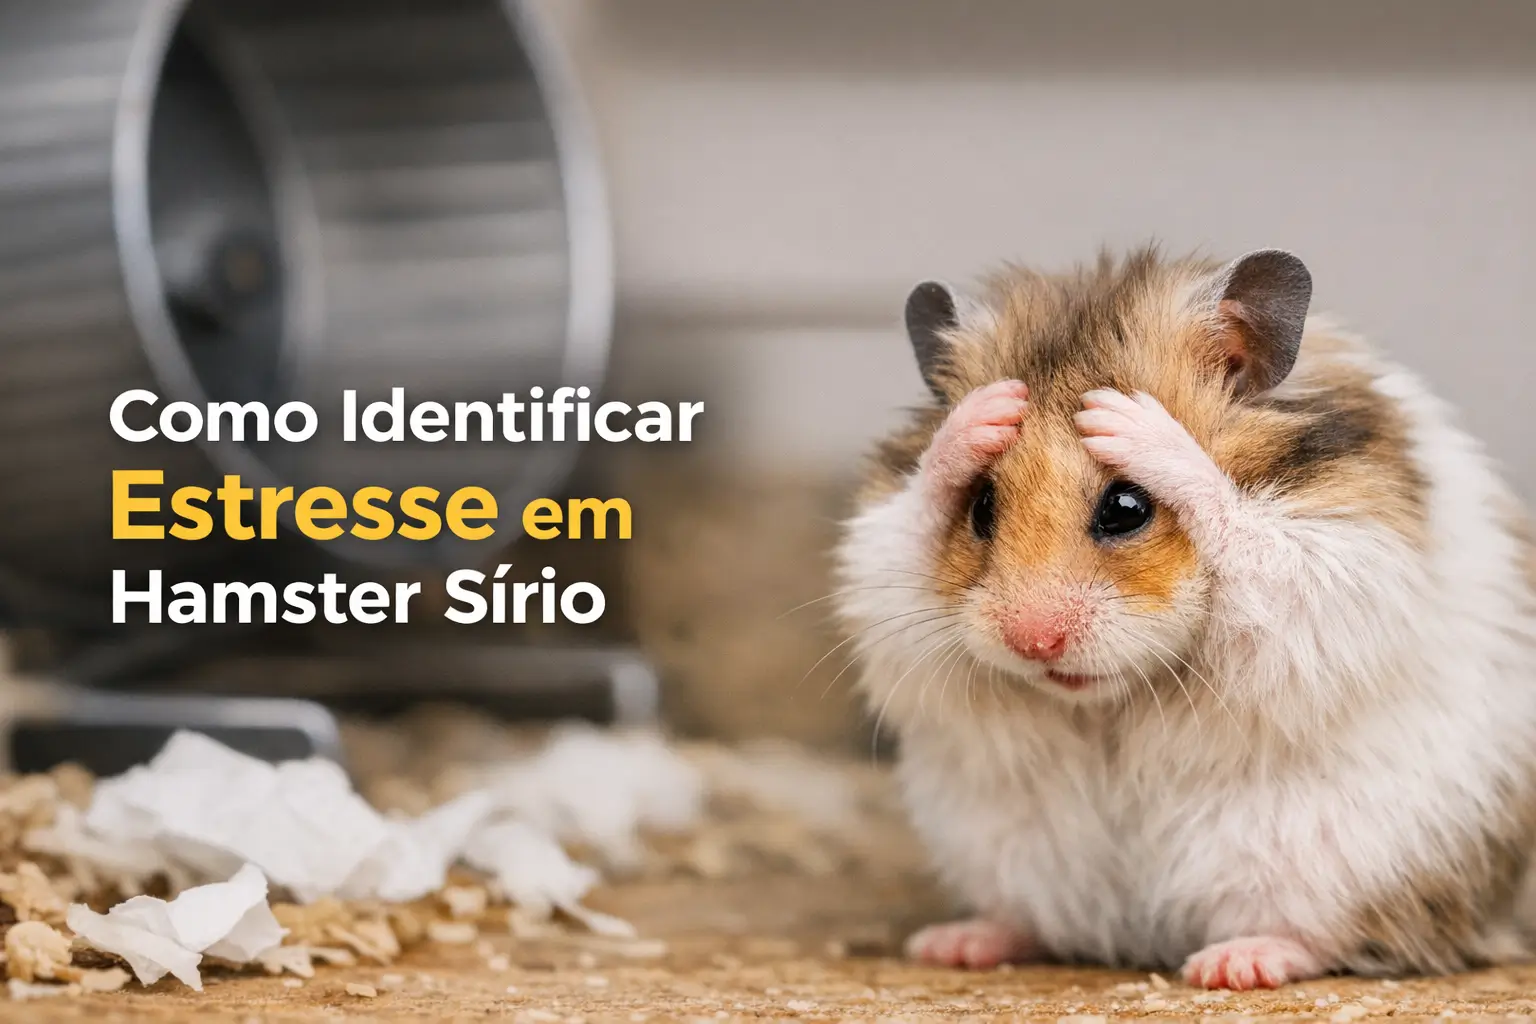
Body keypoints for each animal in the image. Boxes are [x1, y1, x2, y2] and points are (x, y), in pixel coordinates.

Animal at [834, 247, 1536, 989]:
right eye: (982, 507)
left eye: (1127, 506)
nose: (1034, 642)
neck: (1113, 701)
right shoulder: (880, 579)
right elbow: (908, 523)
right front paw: (982, 415)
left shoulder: (1337, 560)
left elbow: (1240, 525)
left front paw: (1128, 423)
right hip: (1002, 850)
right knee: (1035, 921)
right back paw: (953, 944)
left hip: (1360, 862)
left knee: (1344, 936)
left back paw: (1234, 965)